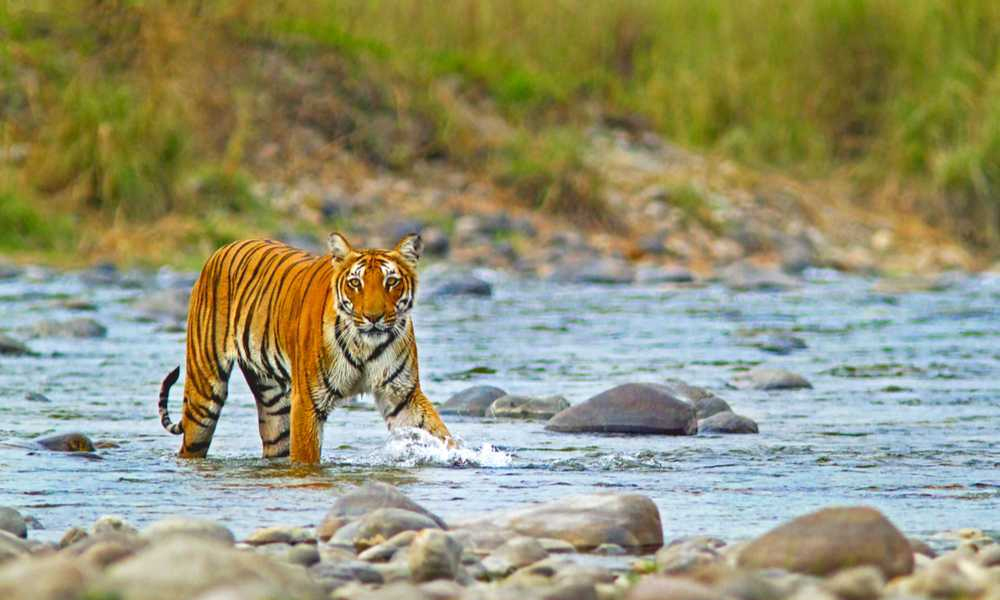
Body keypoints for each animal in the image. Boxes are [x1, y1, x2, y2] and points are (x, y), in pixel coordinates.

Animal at [157, 232, 453, 463]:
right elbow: (306, 457)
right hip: (204, 393)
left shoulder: (402, 394)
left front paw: (459, 456)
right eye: (355, 283)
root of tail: (222, 249)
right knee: (192, 442)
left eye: (391, 282)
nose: (373, 317)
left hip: (274, 404)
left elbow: (438, 432)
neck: (365, 345)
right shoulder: (308, 401)